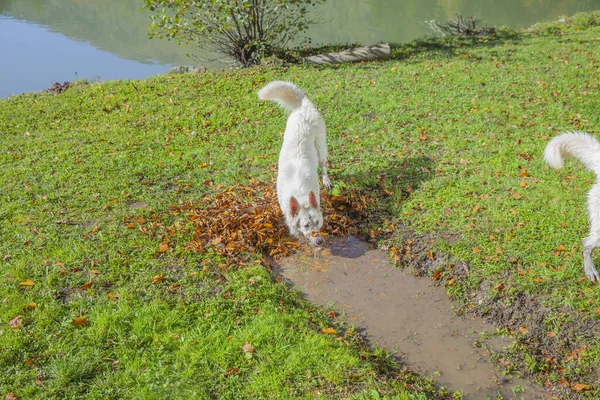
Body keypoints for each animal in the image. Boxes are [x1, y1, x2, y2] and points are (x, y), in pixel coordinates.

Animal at [258, 80, 332, 245]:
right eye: (306, 226)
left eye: (317, 222)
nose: (319, 242)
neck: (300, 193)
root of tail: (303, 105)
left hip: (320, 148)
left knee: (323, 165)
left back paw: (326, 180)